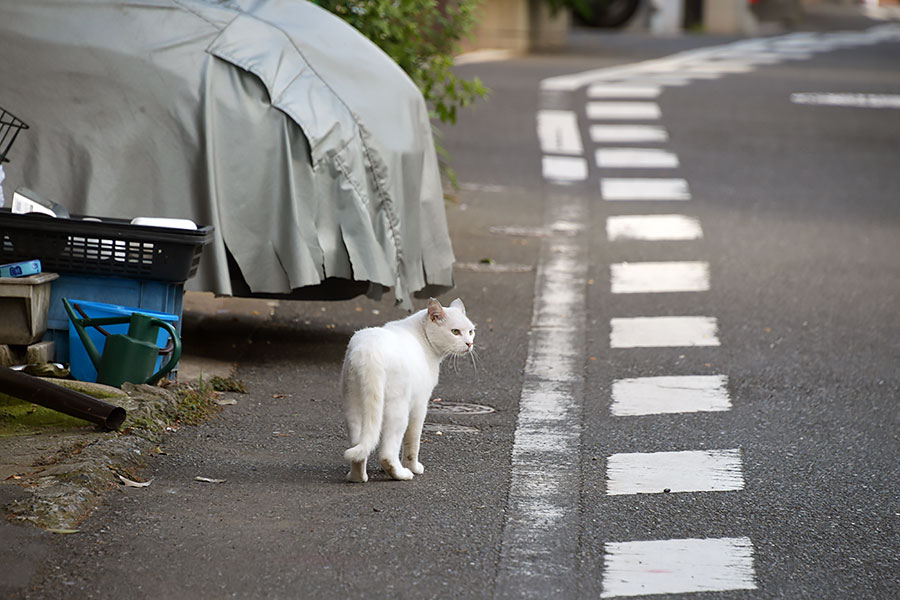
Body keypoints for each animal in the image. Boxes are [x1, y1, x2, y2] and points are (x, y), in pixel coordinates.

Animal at [342, 298, 474, 482]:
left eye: (471, 331)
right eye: (455, 332)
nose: (469, 343)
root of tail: (369, 352)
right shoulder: (420, 406)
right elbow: (413, 442)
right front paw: (414, 467)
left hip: (353, 405)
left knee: (360, 448)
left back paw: (357, 477)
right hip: (398, 411)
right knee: (387, 454)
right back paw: (401, 473)